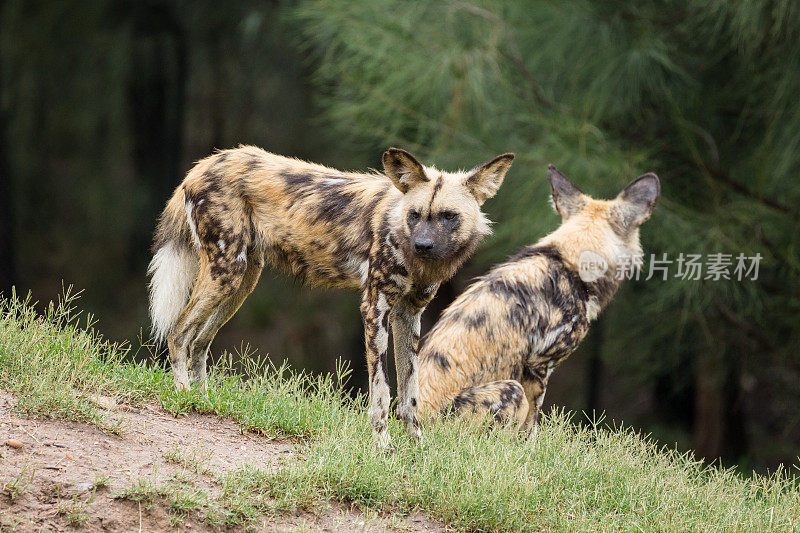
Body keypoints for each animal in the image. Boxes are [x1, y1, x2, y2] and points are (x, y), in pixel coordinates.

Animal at [147, 144, 516, 444]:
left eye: (449, 216)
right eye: (414, 215)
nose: (422, 245)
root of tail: (205, 163)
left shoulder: (408, 314)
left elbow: (409, 393)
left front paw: (417, 449)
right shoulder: (375, 307)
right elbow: (382, 392)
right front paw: (383, 447)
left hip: (242, 280)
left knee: (199, 341)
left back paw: (203, 400)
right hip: (225, 272)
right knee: (179, 333)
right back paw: (183, 396)